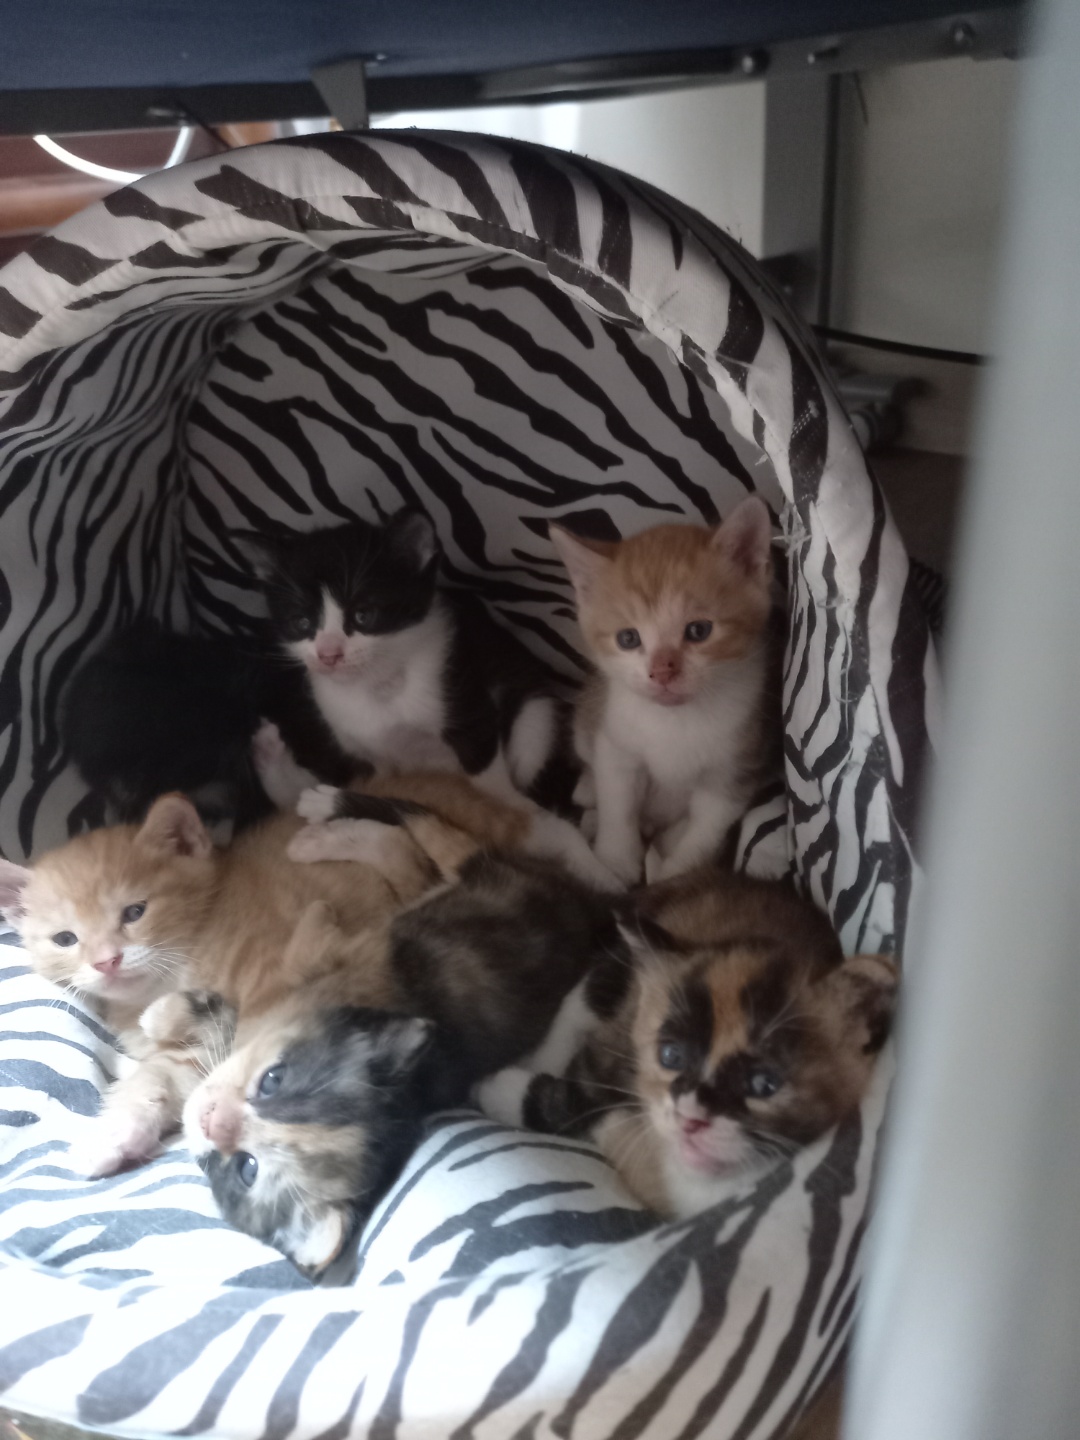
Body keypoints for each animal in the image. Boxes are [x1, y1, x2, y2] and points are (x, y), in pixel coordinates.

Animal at [238, 509, 579, 814]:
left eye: (364, 615)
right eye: (302, 622)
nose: (329, 654)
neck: (376, 680)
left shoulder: (467, 707)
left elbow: (485, 772)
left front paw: (514, 808)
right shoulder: (363, 747)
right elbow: (378, 779)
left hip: (535, 712)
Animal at [475, 866, 897, 1218]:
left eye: (764, 1083)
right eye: (670, 1055)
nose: (691, 1118)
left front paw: (493, 1087)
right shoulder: (615, 1043)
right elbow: (577, 1093)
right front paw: (494, 1086)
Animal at [549, 497, 782, 885]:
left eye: (699, 630)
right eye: (628, 638)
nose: (661, 671)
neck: (675, 721)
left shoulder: (736, 767)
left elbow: (706, 829)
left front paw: (677, 876)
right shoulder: (616, 745)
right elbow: (617, 805)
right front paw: (616, 860)